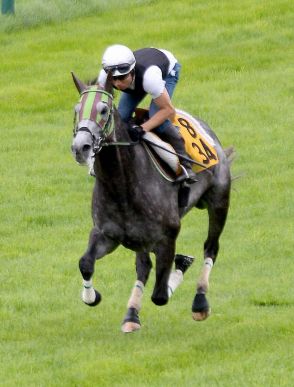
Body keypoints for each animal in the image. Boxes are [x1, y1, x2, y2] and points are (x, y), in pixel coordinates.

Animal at [70, 73, 232, 334]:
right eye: (76, 110)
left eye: (103, 110)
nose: (80, 148)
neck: (122, 184)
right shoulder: (107, 234)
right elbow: (86, 263)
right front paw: (92, 297)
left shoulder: (167, 236)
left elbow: (160, 295)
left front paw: (182, 265)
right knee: (144, 267)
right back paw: (131, 315)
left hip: (219, 200)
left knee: (211, 247)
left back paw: (200, 301)